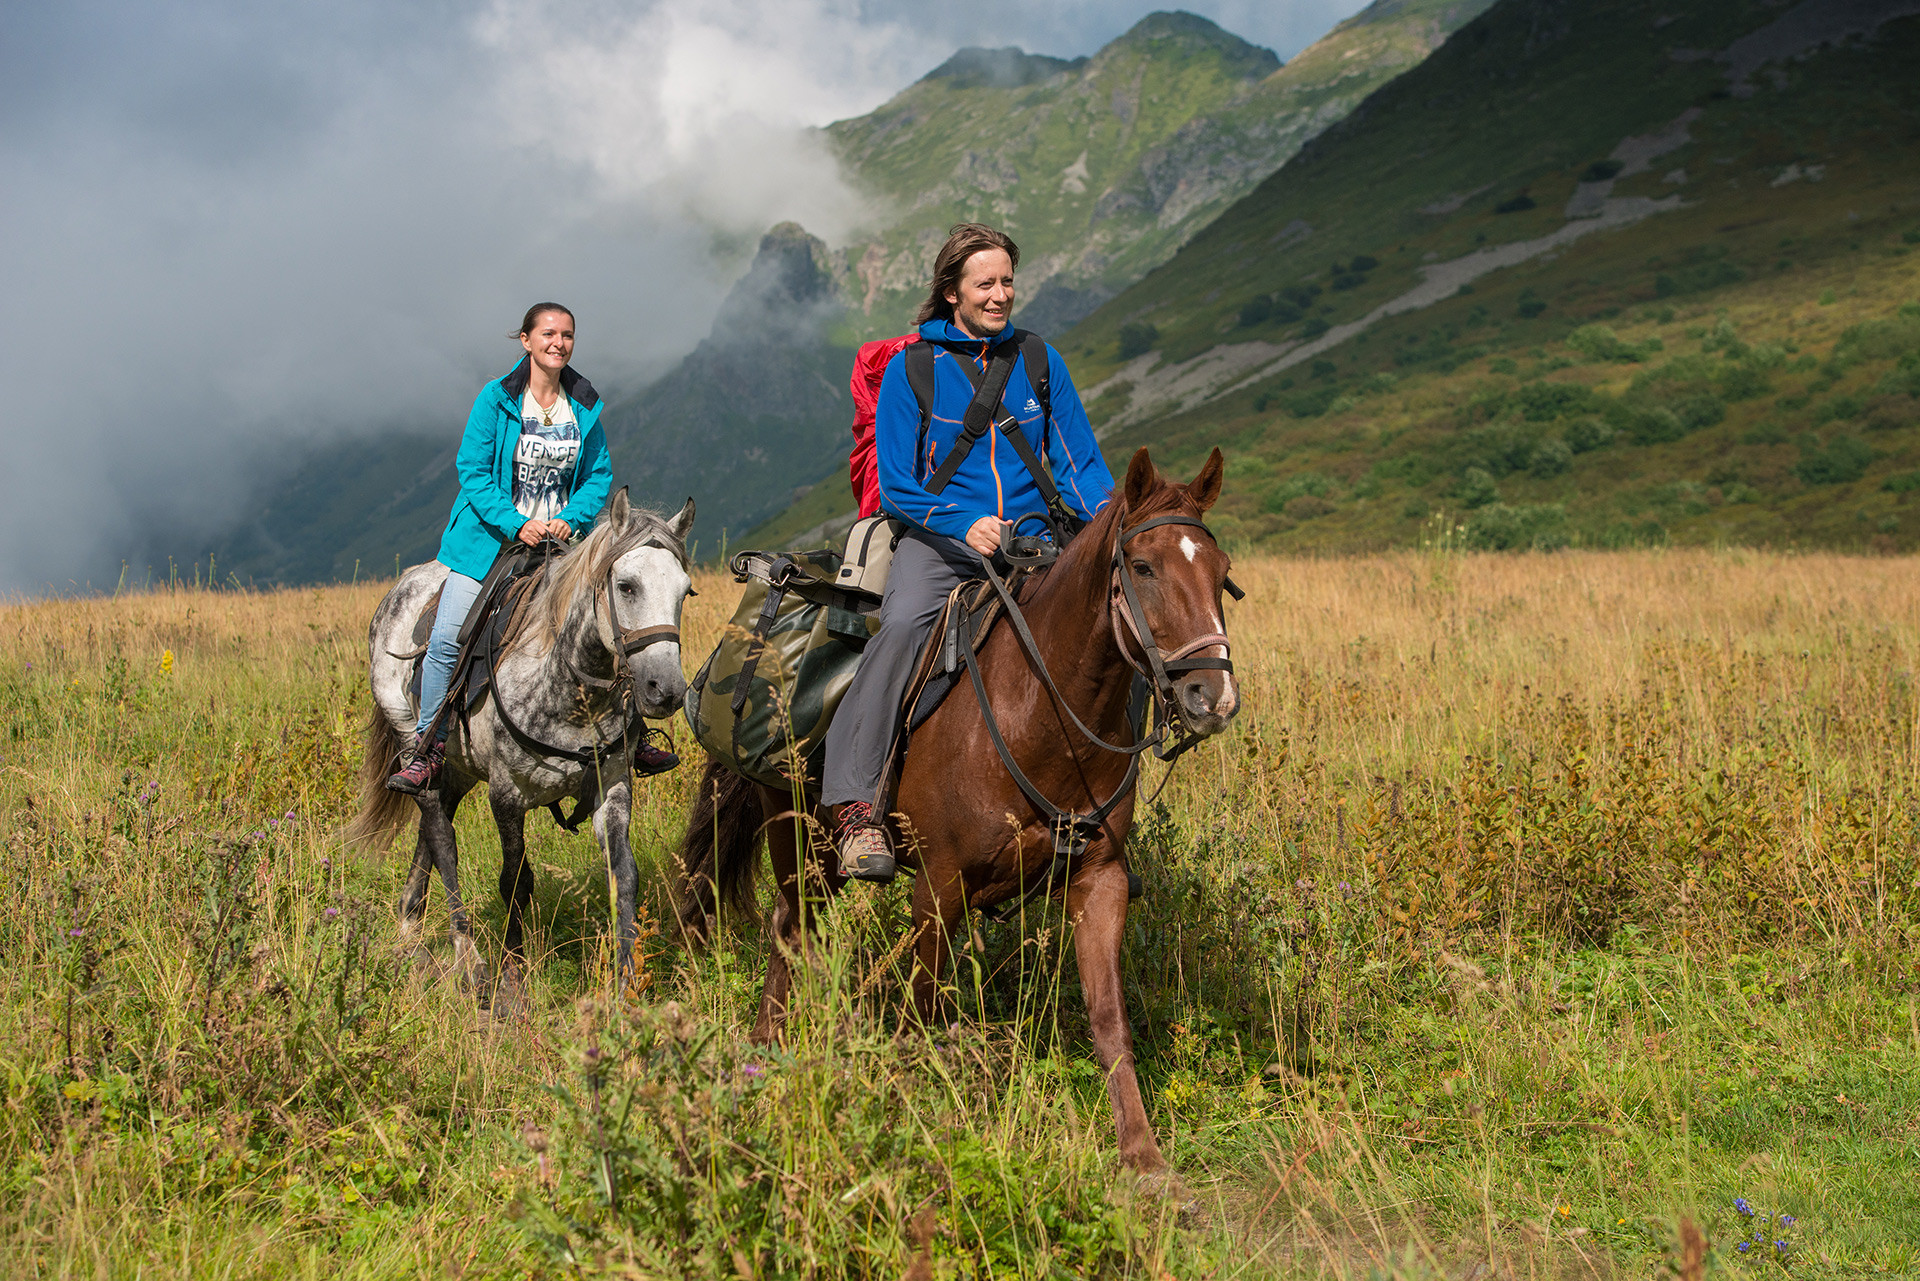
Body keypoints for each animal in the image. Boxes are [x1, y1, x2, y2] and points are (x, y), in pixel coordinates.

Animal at [349, 491, 695, 1014]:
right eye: (626, 585)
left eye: (685, 591)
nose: (666, 690)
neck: (570, 690)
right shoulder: (506, 794)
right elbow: (514, 881)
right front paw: (511, 979)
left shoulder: (611, 788)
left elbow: (624, 875)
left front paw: (625, 983)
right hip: (413, 741)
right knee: (440, 836)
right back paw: (468, 957)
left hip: (455, 768)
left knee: (432, 830)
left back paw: (410, 927)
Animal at [683, 443, 1236, 1175]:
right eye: (1142, 567)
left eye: (1222, 574)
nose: (1212, 697)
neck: (1043, 709)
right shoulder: (938, 887)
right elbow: (924, 1013)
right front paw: (923, 1124)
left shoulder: (1101, 879)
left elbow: (1109, 1020)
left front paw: (1143, 1158)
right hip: (798, 837)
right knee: (789, 932)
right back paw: (767, 1049)